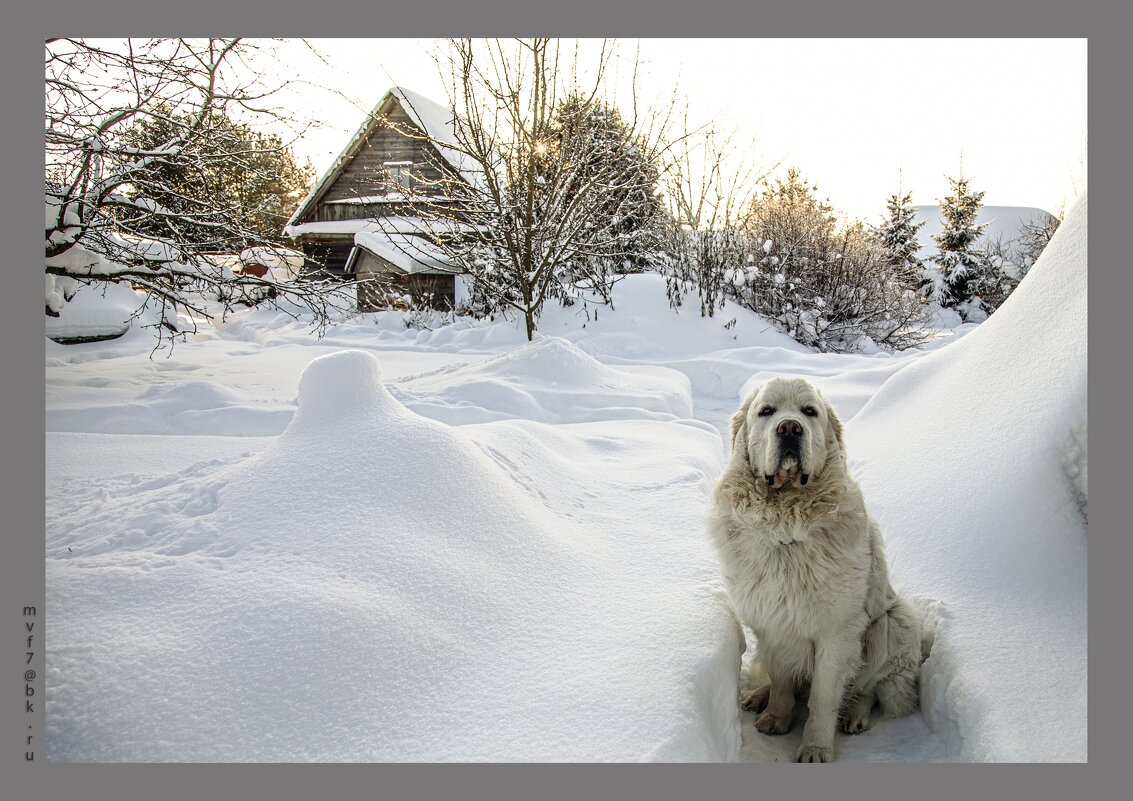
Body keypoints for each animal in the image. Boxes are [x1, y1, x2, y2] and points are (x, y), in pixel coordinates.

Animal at [706, 378, 929, 765]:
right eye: (766, 411)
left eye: (809, 412)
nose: (789, 428)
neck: (786, 525)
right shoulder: (772, 623)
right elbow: (782, 680)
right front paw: (776, 716)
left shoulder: (837, 633)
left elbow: (824, 697)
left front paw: (815, 748)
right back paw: (757, 696)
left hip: (894, 621)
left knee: (868, 687)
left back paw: (855, 714)